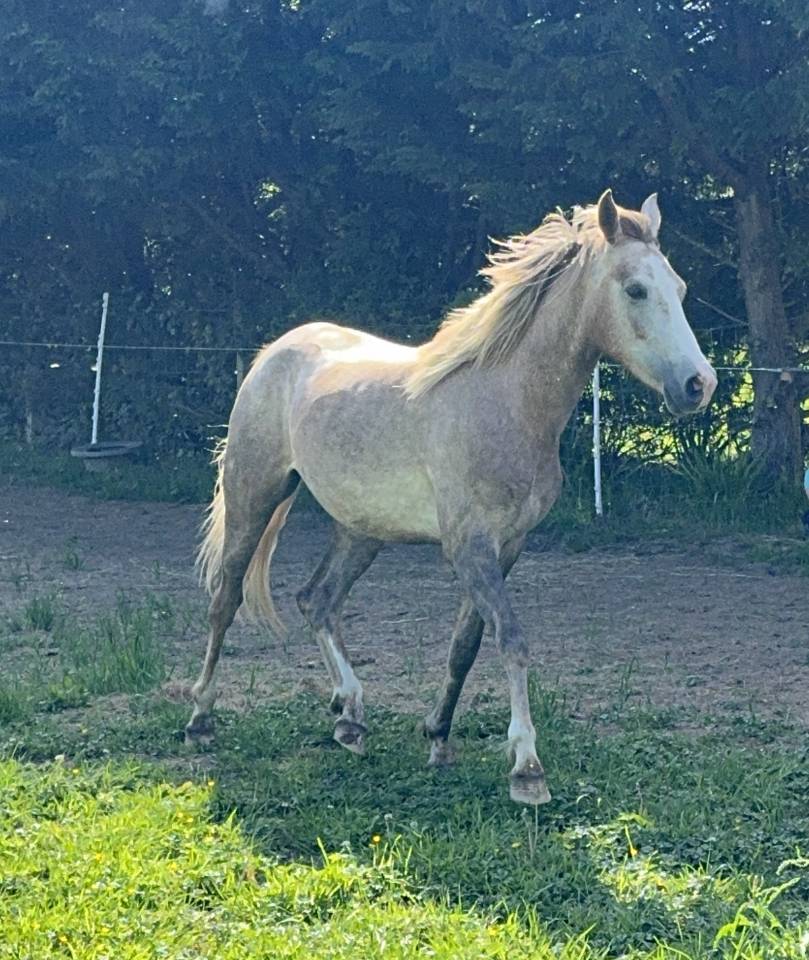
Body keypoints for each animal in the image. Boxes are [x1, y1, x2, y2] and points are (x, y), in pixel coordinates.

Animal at [186, 189, 717, 805]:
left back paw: (350, 718)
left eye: (680, 287)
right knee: (226, 598)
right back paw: (200, 719)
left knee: (317, 600)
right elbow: (511, 638)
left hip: (361, 529)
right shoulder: (469, 546)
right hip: (254, 495)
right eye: (635, 289)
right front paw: (527, 769)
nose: (699, 385)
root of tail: (275, 352)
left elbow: (467, 643)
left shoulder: (506, 546)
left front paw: (438, 737)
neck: (506, 401)